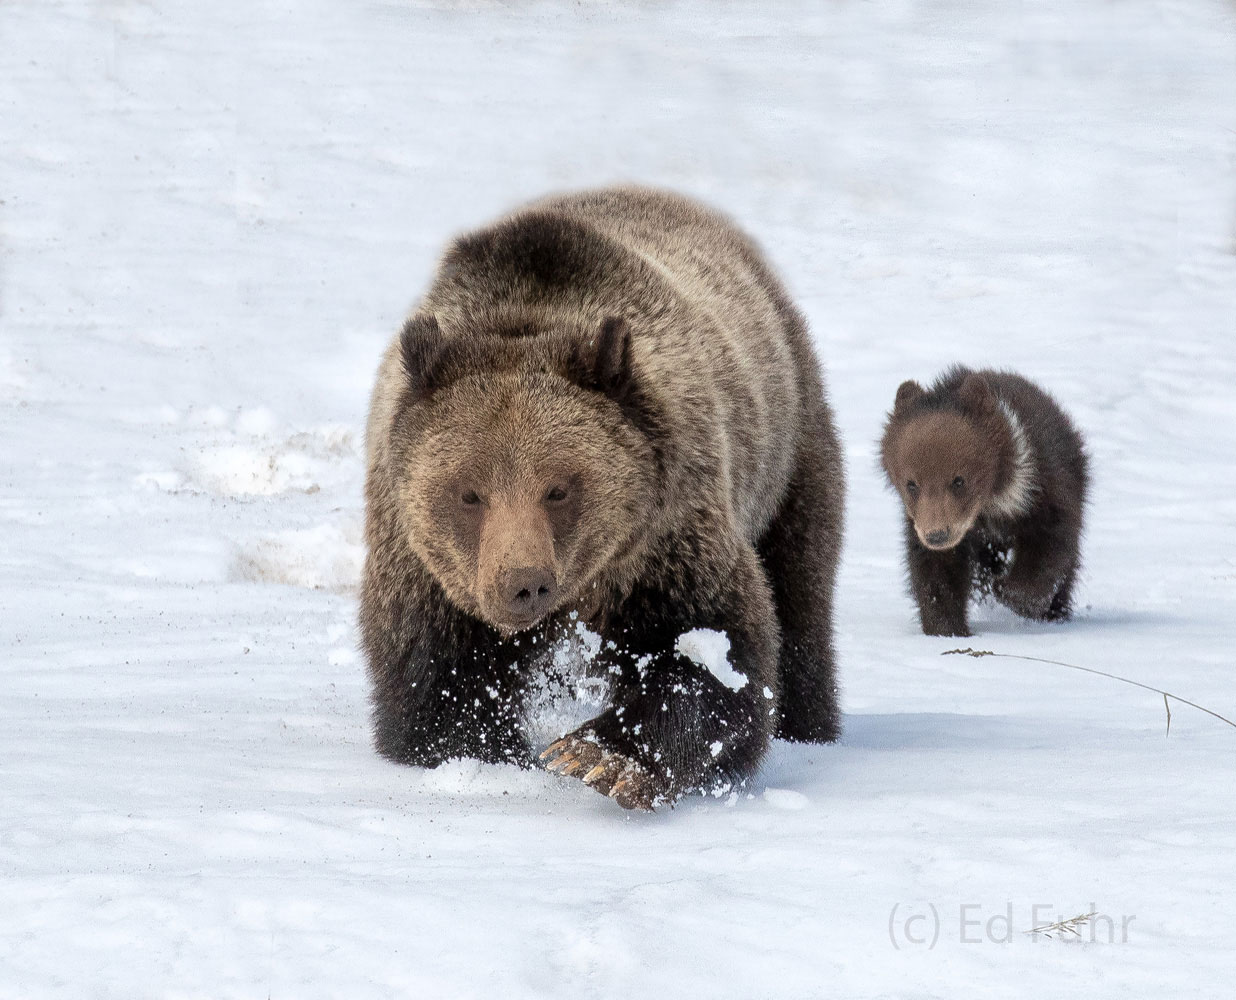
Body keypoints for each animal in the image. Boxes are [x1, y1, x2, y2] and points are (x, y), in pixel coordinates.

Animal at [353, 187, 845, 805]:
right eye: (469, 493)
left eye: (558, 488)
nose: (524, 584)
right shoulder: (425, 567)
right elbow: (434, 682)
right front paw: (491, 757)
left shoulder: (663, 538)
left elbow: (713, 650)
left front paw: (600, 757)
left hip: (786, 447)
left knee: (800, 592)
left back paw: (810, 727)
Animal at [880, 363, 1092, 637]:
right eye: (912, 483)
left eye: (959, 480)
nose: (937, 535)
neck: (993, 502)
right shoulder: (925, 521)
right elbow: (935, 570)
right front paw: (947, 628)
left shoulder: (1045, 490)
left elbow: (1049, 547)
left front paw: (1008, 592)